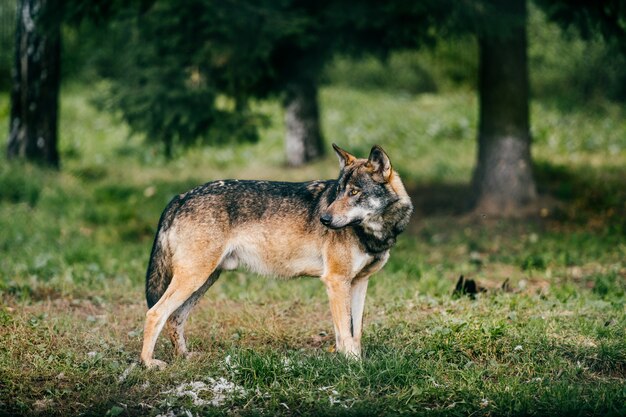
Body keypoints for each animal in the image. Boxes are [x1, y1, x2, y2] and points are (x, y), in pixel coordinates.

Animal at [140, 144, 410, 368]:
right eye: (339, 192)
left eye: (354, 192)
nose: (323, 219)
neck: (374, 233)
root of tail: (181, 197)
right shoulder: (336, 281)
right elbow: (345, 331)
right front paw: (353, 366)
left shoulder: (358, 283)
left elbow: (355, 332)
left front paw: (354, 360)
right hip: (194, 278)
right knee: (155, 313)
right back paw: (148, 364)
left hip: (204, 280)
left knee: (174, 318)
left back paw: (184, 357)